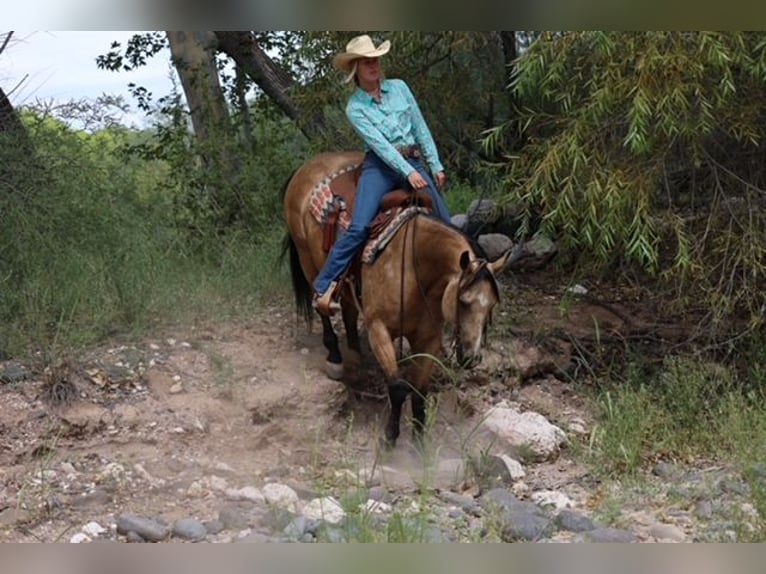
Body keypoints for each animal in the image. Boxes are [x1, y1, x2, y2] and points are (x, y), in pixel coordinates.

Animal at [284, 151, 516, 448]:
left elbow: (419, 390)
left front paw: (419, 443)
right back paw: (336, 358)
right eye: (463, 301)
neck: (415, 267)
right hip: (307, 260)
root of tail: (307, 166)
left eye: (492, 305)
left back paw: (357, 358)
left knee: (348, 310)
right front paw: (390, 440)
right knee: (323, 307)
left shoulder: (428, 337)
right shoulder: (379, 330)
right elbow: (397, 387)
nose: (472, 358)